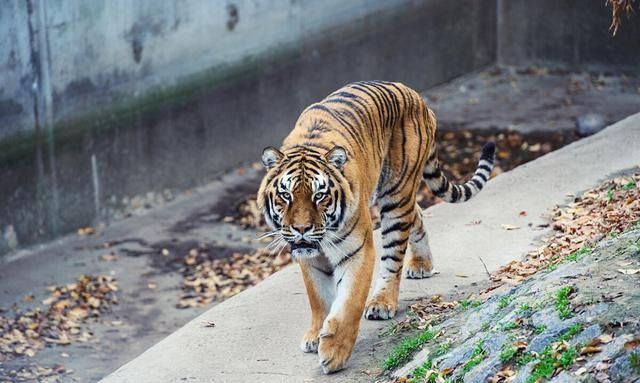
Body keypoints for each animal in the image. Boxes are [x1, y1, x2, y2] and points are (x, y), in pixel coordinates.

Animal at [256, 79, 496, 374]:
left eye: (319, 195)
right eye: (286, 195)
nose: (302, 229)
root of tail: (413, 94)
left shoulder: (356, 250)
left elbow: (349, 302)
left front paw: (334, 353)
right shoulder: (309, 258)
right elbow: (318, 298)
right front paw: (315, 336)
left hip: (396, 196)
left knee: (394, 256)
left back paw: (382, 302)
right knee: (418, 215)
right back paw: (422, 264)